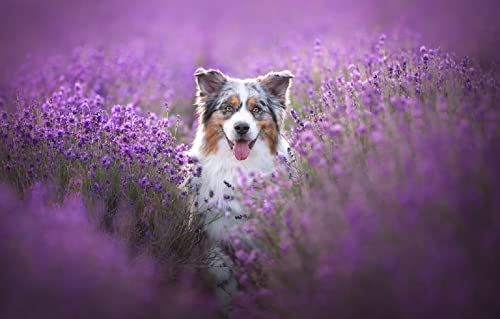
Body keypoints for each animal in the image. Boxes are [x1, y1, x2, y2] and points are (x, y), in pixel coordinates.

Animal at [185, 67, 296, 308]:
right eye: (228, 108)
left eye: (256, 109)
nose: (242, 127)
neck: (240, 167)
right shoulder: (214, 234)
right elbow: (222, 276)